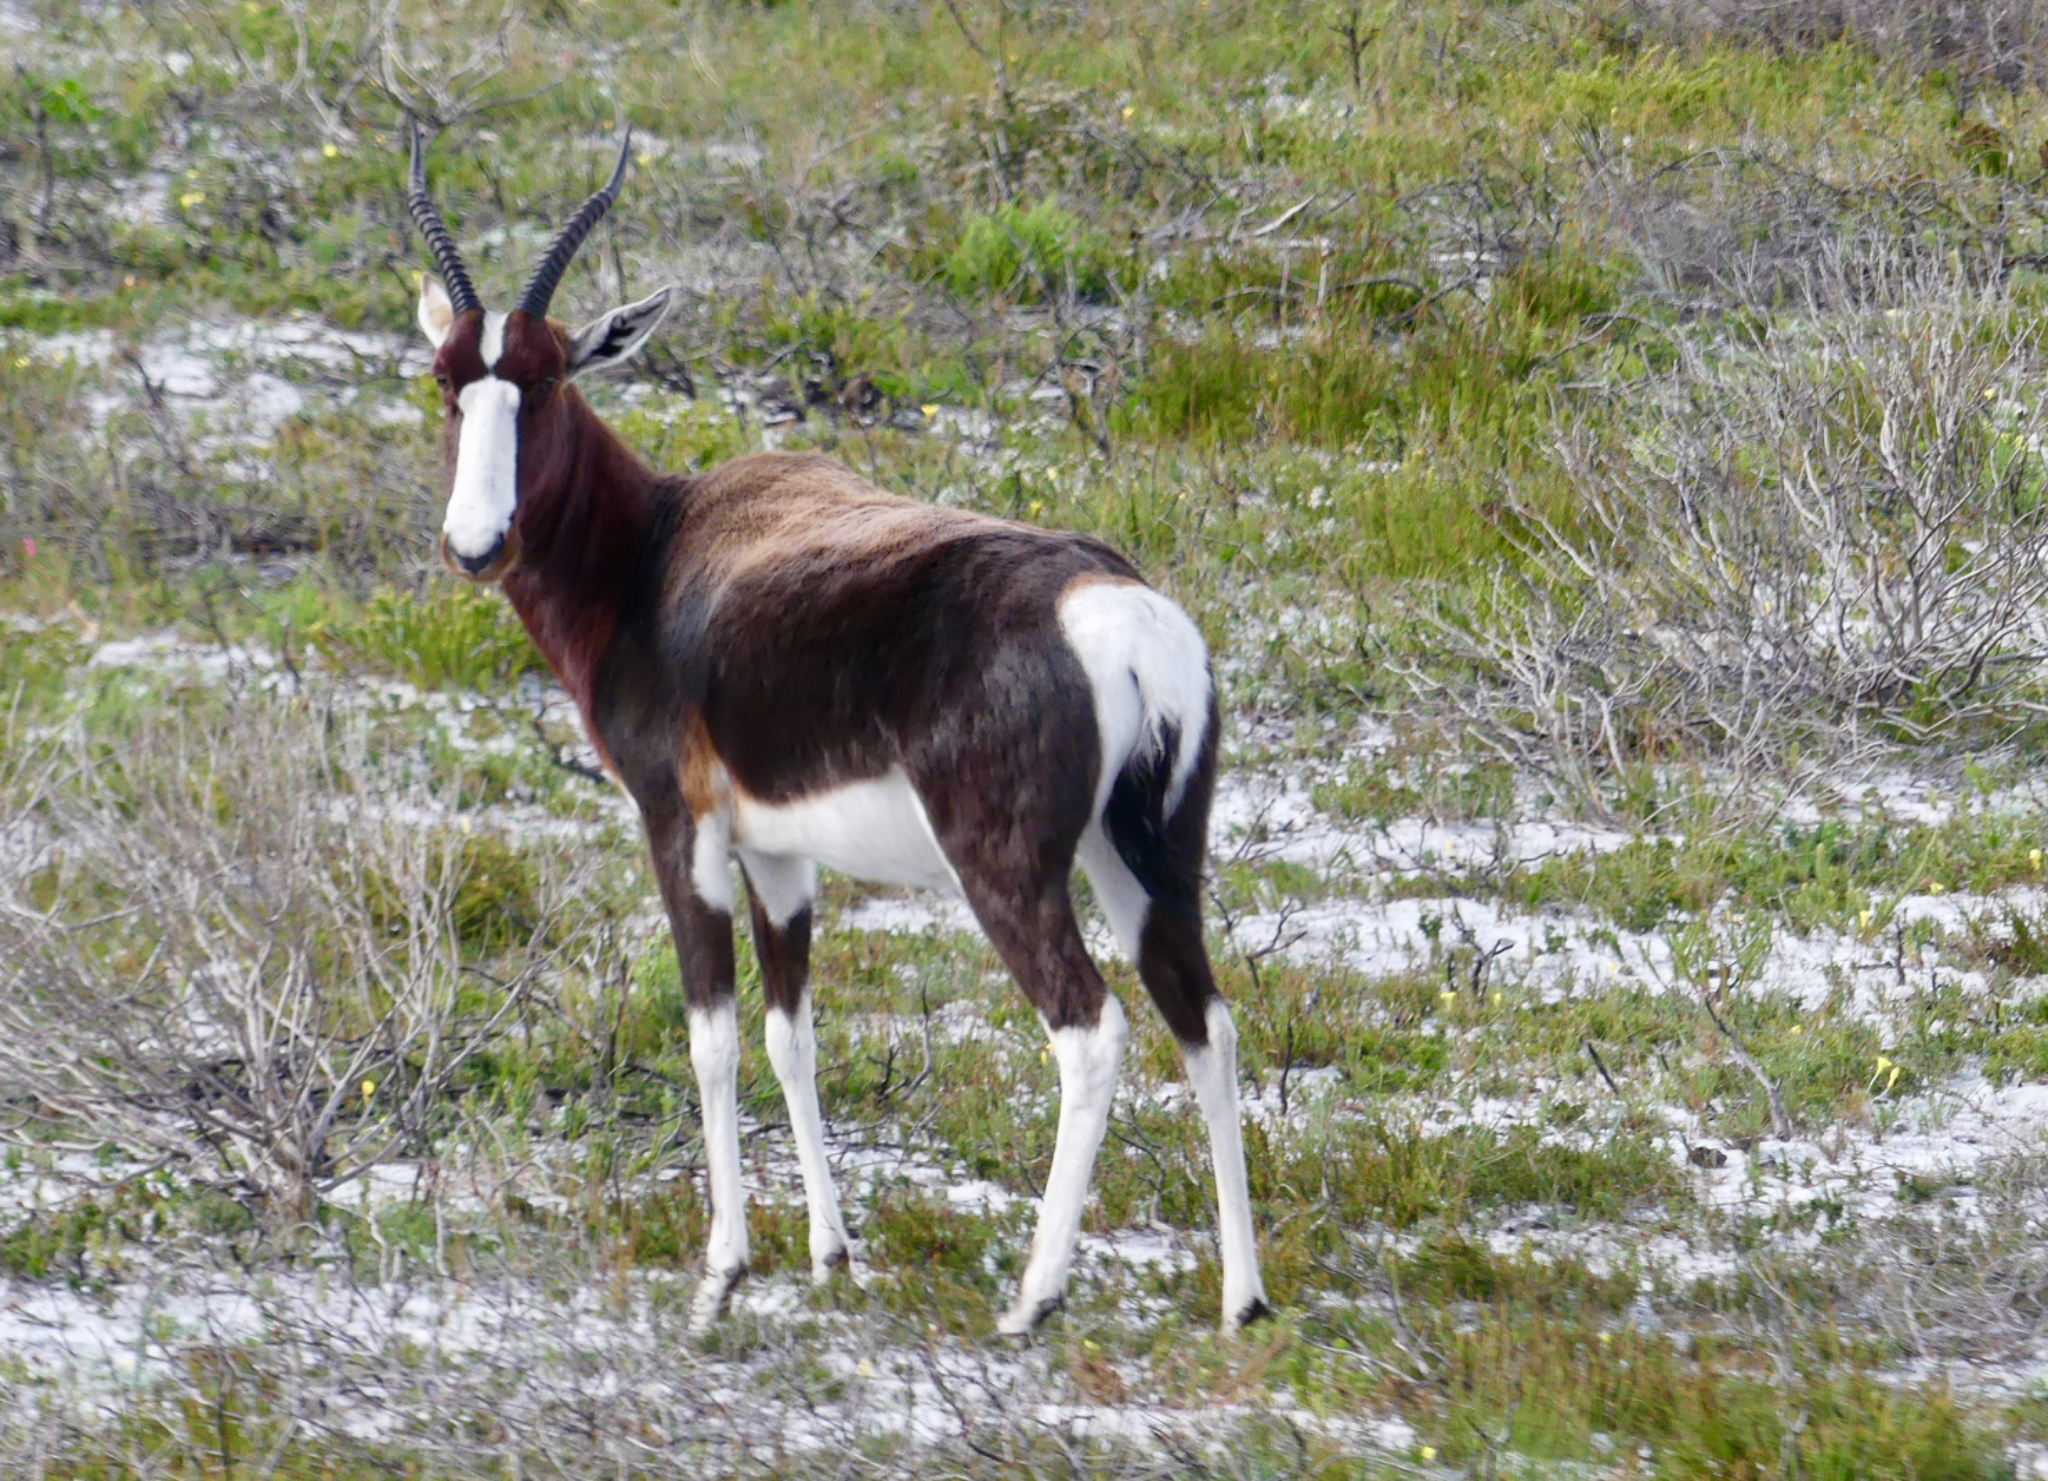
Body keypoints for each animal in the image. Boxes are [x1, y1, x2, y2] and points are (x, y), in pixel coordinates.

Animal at [404, 127, 1269, 1335]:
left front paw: (722, 1269)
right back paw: (1242, 1301)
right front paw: (828, 1251)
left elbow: (712, 1034)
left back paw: (1033, 1298)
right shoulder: (781, 852)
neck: (662, 545)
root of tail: (1111, 606)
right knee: (1206, 1019)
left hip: (1006, 866)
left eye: (549, 374)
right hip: (1144, 851)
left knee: (1090, 1028)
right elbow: (790, 1030)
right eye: (449, 379)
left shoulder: (681, 828)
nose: (477, 545)